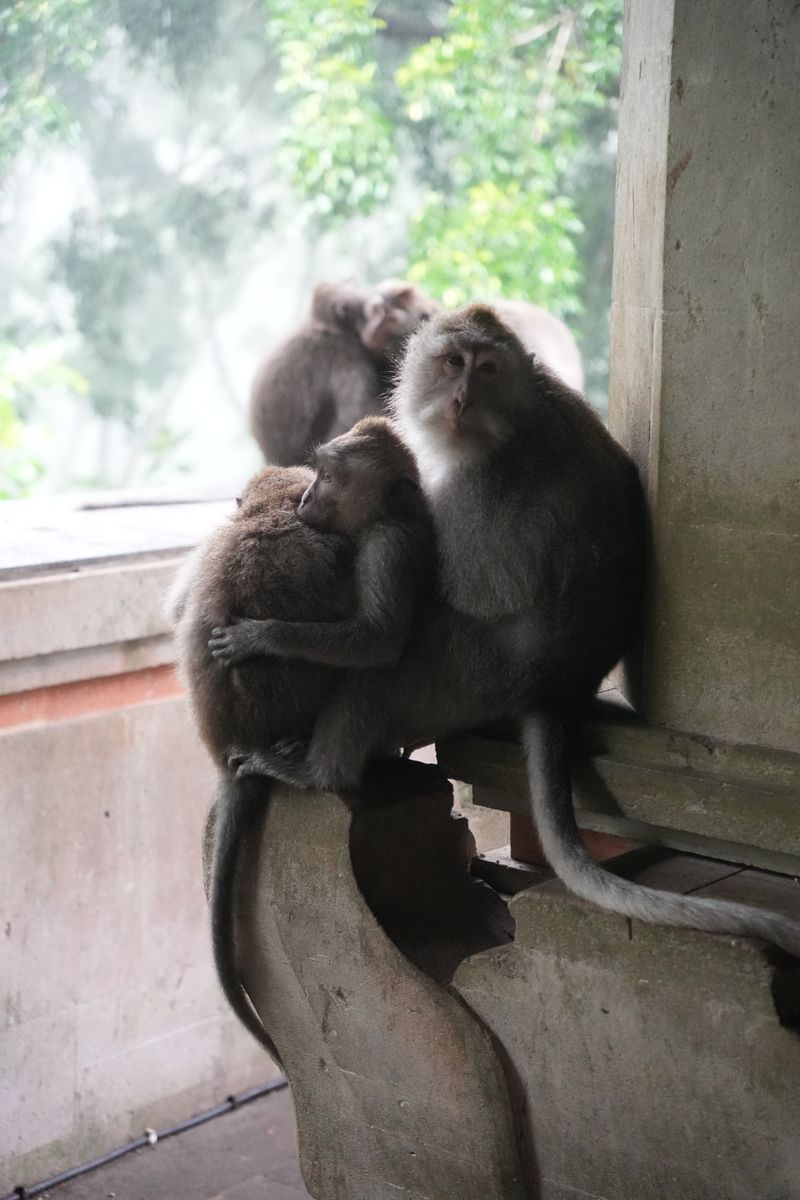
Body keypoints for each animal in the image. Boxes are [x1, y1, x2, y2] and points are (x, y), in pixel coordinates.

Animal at [221, 304, 800, 959]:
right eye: (454, 362)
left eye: (487, 368)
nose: (463, 397)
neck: (512, 415)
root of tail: (560, 689)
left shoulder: (476, 488)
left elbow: (422, 612)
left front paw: (270, 632)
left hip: (476, 676)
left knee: (389, 664)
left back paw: (322, 771)